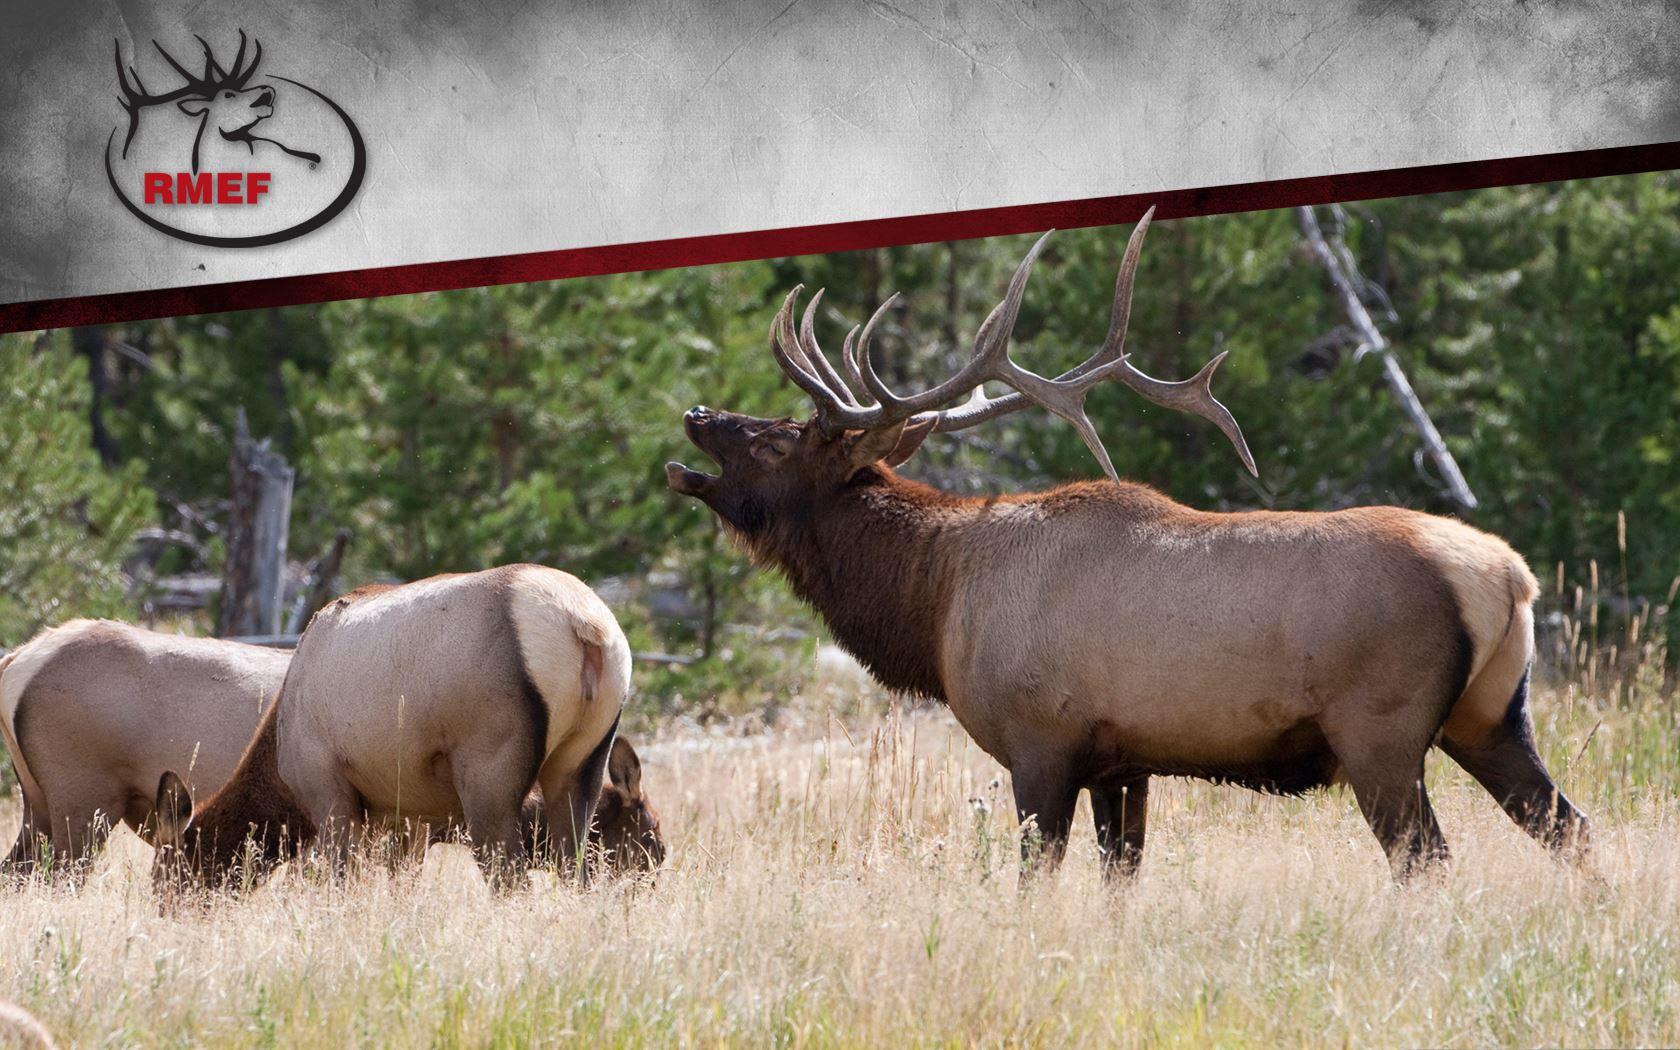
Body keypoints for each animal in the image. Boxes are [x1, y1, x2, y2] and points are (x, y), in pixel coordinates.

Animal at [148, 565, 640, 890]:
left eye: (171, 874)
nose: (167, 911)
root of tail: (585, 626)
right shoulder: (407, 816)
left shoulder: (328, 790)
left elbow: (339, 879)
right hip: (583, 762)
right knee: (576, 867)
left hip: (489, 771)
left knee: (509, 874)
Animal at [666, 208, 1591, 882]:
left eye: (779, 439)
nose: (698, 412)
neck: (933, 602)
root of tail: (1510, 578)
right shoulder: (1123, 761)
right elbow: (1122, 877)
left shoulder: (1041, 743)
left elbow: (1036, 879)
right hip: (1491, 717)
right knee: (1571, 829)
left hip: (1383, 731)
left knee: (1428, 857)